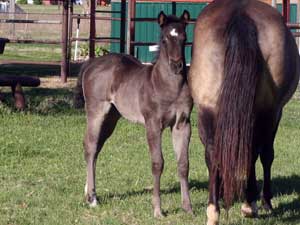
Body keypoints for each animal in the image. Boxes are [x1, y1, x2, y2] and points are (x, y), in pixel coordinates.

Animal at [75, 11, 192, 218]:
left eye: (184, 38)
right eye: (164, 39)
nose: (177, 65)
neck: (168, 86)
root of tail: (91, 63)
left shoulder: (182, 124)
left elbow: (183, 164)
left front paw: (188, 208)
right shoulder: (153, 124)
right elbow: (157, 163)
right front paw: (158, 210)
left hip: (111, 118)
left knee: (96, 148)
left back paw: (88, 192)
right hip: (96, 112)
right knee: (89, 146)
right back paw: (93, 199)